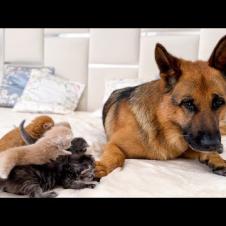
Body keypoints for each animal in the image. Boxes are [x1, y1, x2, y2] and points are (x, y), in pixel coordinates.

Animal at [96, 35, 226, 178]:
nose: (214, 145)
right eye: (188, 103)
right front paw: (102, 167)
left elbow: (202, 152)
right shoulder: (113, 144)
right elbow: (116, 156)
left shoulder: (187, 147)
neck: (163, 126)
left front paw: (217, 159)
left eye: (218, 102)